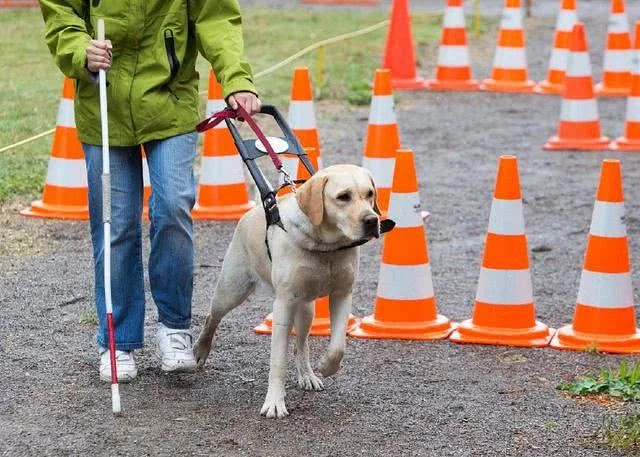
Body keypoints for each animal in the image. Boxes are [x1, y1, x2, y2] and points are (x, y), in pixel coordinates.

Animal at [194, 163, 380, 416]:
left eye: (370, 194)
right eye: (343, 197)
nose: (372, 220)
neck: (326, 247)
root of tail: (254, 211)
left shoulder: (342, 294)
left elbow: (337, 346)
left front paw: (326, 366)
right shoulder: (283, 304)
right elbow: (278, 360)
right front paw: (274, 402)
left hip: (306, 309)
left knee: (301, 344)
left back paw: (307, 375)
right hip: (231, 290)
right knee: (212, 318)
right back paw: (200, 350)